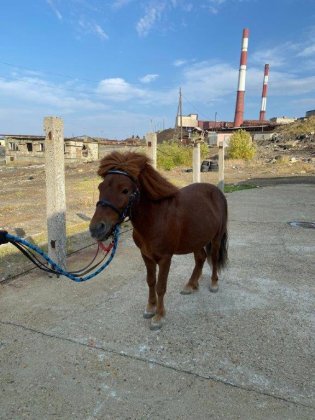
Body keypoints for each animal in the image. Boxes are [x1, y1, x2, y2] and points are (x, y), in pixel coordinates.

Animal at [90, 153, 228, 330]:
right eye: (100, 187)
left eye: (125, 190)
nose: (96, 228)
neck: (155, 217)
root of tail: (217, 191)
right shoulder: (146, 256)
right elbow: (150, 282)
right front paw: (150, 308)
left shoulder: (165, 258)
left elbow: (161, 286)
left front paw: (159, 316)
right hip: (196, 239)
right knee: (200, 258)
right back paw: (191, 285)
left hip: (216, 238)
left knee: (214, 258)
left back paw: (213, 283)